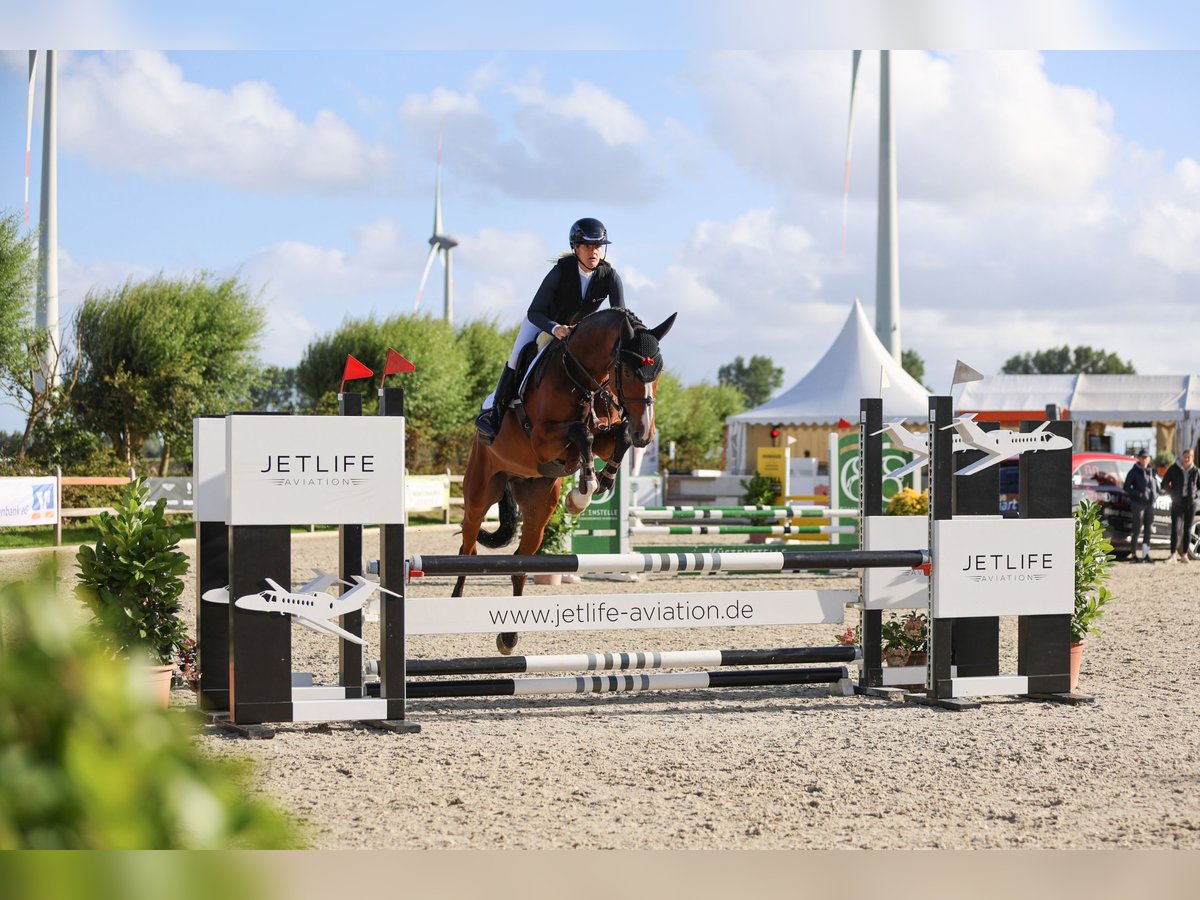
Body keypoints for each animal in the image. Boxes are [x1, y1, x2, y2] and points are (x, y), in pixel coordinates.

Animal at [451, 307, 676, 652]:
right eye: (627, 372)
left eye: (659, 371)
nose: (646, 434)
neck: (582, 377)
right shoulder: (544, 439)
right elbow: (581, 432)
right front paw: (584, 492)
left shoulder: (605, 435)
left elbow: (615, 437)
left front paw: (600, 483)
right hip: (480, 491)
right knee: (467, 548)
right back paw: (456, 602)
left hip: (538, 505)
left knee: (519, 564)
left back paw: (509, 637)